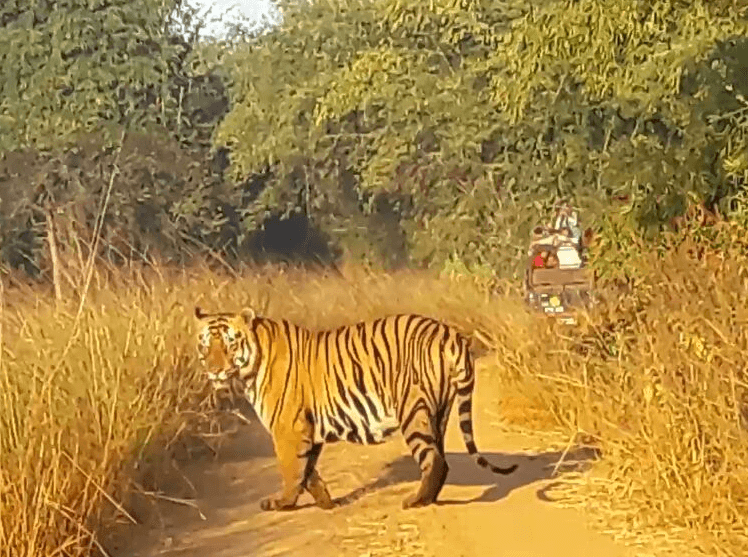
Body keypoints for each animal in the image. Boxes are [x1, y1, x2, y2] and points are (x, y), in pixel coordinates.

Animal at [194, 306, 520, 510]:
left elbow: (292, 469)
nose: (214, 371)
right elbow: (308, 469)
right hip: (439, 411)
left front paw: (282, 503)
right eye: (205, 346)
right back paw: (427, 498)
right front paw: (326, 502)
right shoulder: (307, 427)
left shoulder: (288, 427)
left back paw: (415, 501)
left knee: (435, 460)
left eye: (229, 344)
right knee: (441, 458)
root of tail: (449, 333)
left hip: (413, 410)